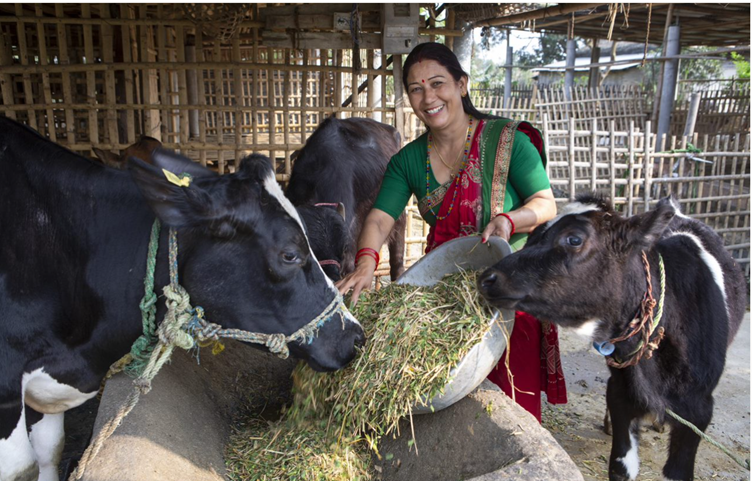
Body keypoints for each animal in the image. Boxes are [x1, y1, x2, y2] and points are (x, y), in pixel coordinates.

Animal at [478, 193, 748, 478]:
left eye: (574, 239)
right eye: (533, 236)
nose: (487, 278)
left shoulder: (698, 410)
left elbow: (677, 471)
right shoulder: (621, 394)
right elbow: (620, 466)